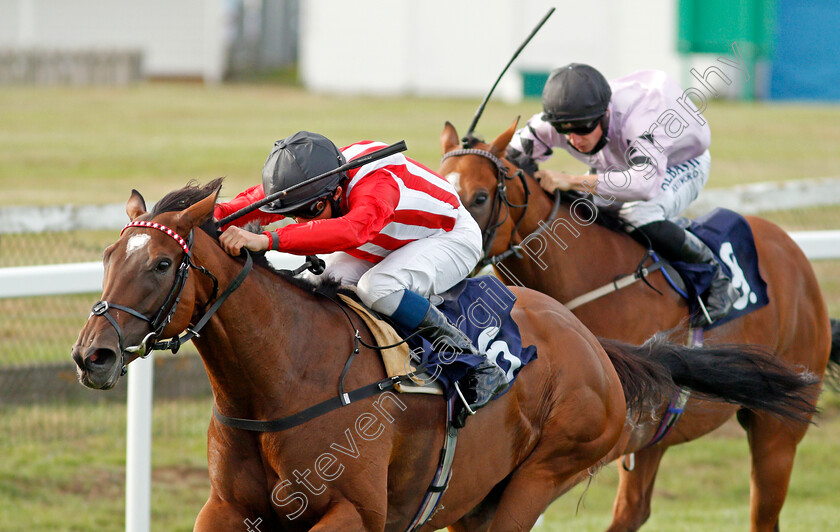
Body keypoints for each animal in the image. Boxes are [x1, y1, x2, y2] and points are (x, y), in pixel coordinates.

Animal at [72, 180, 820, 532]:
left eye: (161, 263)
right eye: (108, 256)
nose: (92, 355)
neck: (283, 378)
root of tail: (595, 346)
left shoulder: (355, 513)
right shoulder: (226, 509)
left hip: (545, 474)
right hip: (475, 498)